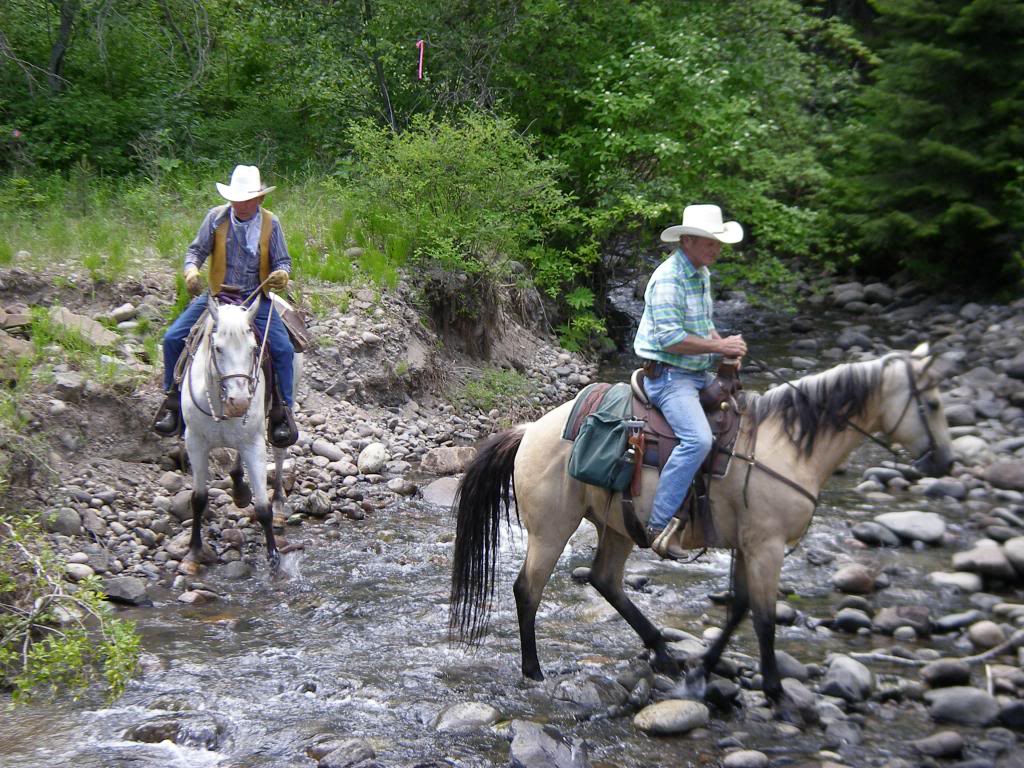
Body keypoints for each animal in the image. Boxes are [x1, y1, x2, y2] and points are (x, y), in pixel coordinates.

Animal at [179, 295, 293, 575]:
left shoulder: (254, 443)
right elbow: (198, 499)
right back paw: (240, 489)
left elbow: (262, 507)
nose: (240, 402)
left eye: (254, 349)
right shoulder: (195, 443)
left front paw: (274, 558)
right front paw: (193, 553)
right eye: (218, 348)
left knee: (279, 454)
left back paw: (278, 506)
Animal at [449, 345, 955, 700]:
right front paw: (776, 692)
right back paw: (534, 670)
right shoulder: (767, 546)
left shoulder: (747, 544)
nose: (944, 463)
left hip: (617, 525)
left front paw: (703, 670)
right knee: (528, 590)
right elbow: (764, 618)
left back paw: (666, 655)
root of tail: (529, 430)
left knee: (605, 580)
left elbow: (740, 607)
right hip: (552, 529)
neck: (785, 447)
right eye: (930, 404)